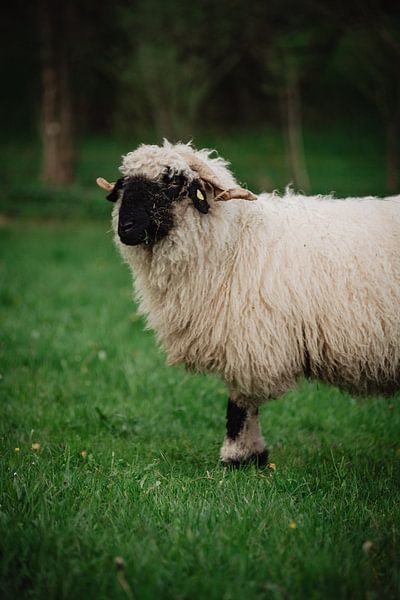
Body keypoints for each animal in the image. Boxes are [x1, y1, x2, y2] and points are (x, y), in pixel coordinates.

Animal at [96, 142, 400, 468]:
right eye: (125, 185)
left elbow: (240, 402)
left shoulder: (249, 338)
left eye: (174, 182)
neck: (235, 242)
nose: (125, 227)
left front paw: (238, 455)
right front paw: (250, 455)